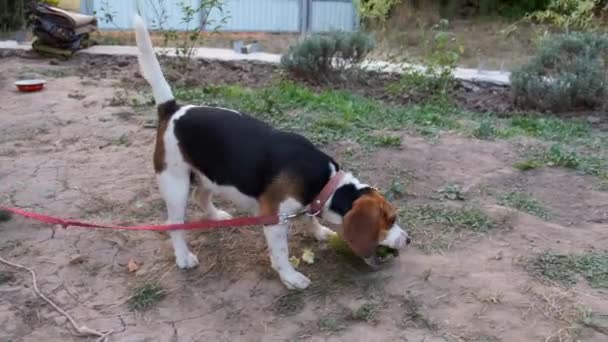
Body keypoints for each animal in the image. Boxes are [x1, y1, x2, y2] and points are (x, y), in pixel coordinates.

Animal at [132, 15, 408, 288]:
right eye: (391, 219)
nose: (408, 240)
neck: (326, 183)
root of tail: (173, 109)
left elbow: (310, 218)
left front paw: (318, 232)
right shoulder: (273, 219)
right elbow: (282, 253)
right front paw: (290, 276)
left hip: (212, 174)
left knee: (200, 196)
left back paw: (216, 215)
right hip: (175, 184)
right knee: (174, 224)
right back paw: (183, 256)